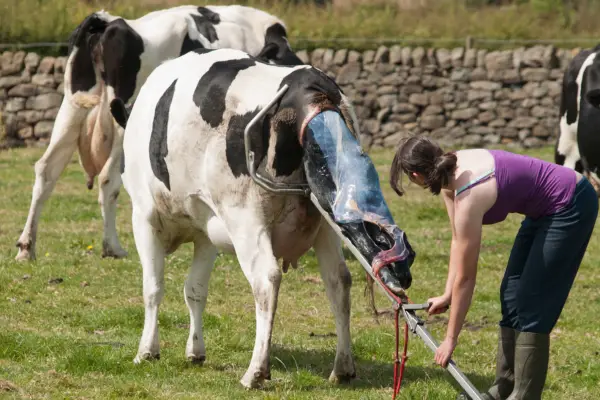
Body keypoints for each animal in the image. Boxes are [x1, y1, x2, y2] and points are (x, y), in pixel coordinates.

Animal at [15, 5, 304, 262]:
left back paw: (27, 247)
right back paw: (112, 246)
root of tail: (110, 22)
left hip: (72, 105)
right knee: (108, 178)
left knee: (47, 168)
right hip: (124, 117)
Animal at [110, 47, 414, 388]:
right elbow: (195, 291)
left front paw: (147, 350)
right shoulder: (206, 231)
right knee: (338, 281)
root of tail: (307, 86)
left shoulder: (144, 217)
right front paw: (195, 351)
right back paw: (343, 367)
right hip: (326, 222)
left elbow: (152, 288)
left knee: (267, 280)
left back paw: (255, 371)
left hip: (246, 218)